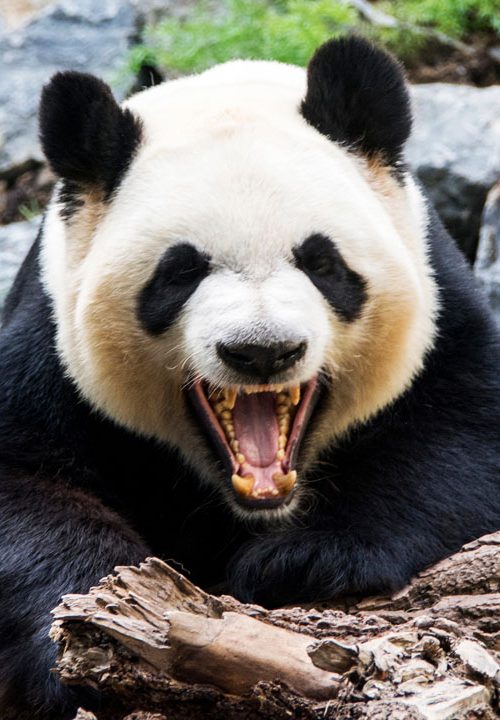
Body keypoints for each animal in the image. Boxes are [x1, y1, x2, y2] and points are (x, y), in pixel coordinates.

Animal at [0, 35, 499, 719]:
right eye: (181, 271)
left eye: (320, 261)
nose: (263, 352)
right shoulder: (47, 340)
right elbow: (25, 487)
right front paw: (88, 629)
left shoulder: (440, 305)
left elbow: (459, 442)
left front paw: (304, 560)